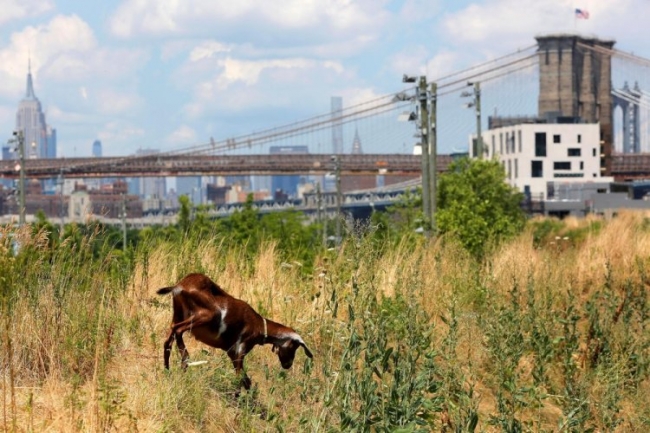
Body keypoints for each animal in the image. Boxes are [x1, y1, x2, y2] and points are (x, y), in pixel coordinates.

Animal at [154, 274, 312, 388]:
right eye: (294, 346)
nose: (288, 365)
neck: (259, 325)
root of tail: (179, 286)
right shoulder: (241, 348)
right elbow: (241, 378)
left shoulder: (230, 352)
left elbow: (245, 379)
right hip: (206, 315)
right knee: (178, 329)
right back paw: (185, 361)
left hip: (178, 313)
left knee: (169, 337)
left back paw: (168, 370)